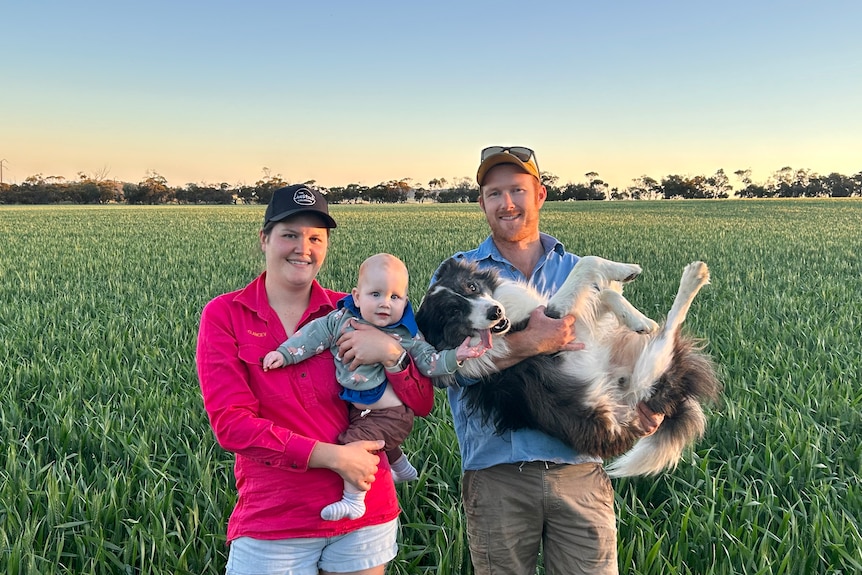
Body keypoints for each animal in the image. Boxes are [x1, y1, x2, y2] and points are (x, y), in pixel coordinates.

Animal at [418, 256, 724, 476]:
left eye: (471, 287)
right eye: (452, 311)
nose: (495, 312)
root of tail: (676, 396)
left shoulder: (576, 324)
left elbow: (604, 294)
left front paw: (635, 315)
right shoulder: (555, 321)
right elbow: (586, 263)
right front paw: (628, 272)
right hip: (646, 379)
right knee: (670, 330)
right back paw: (694, 276)